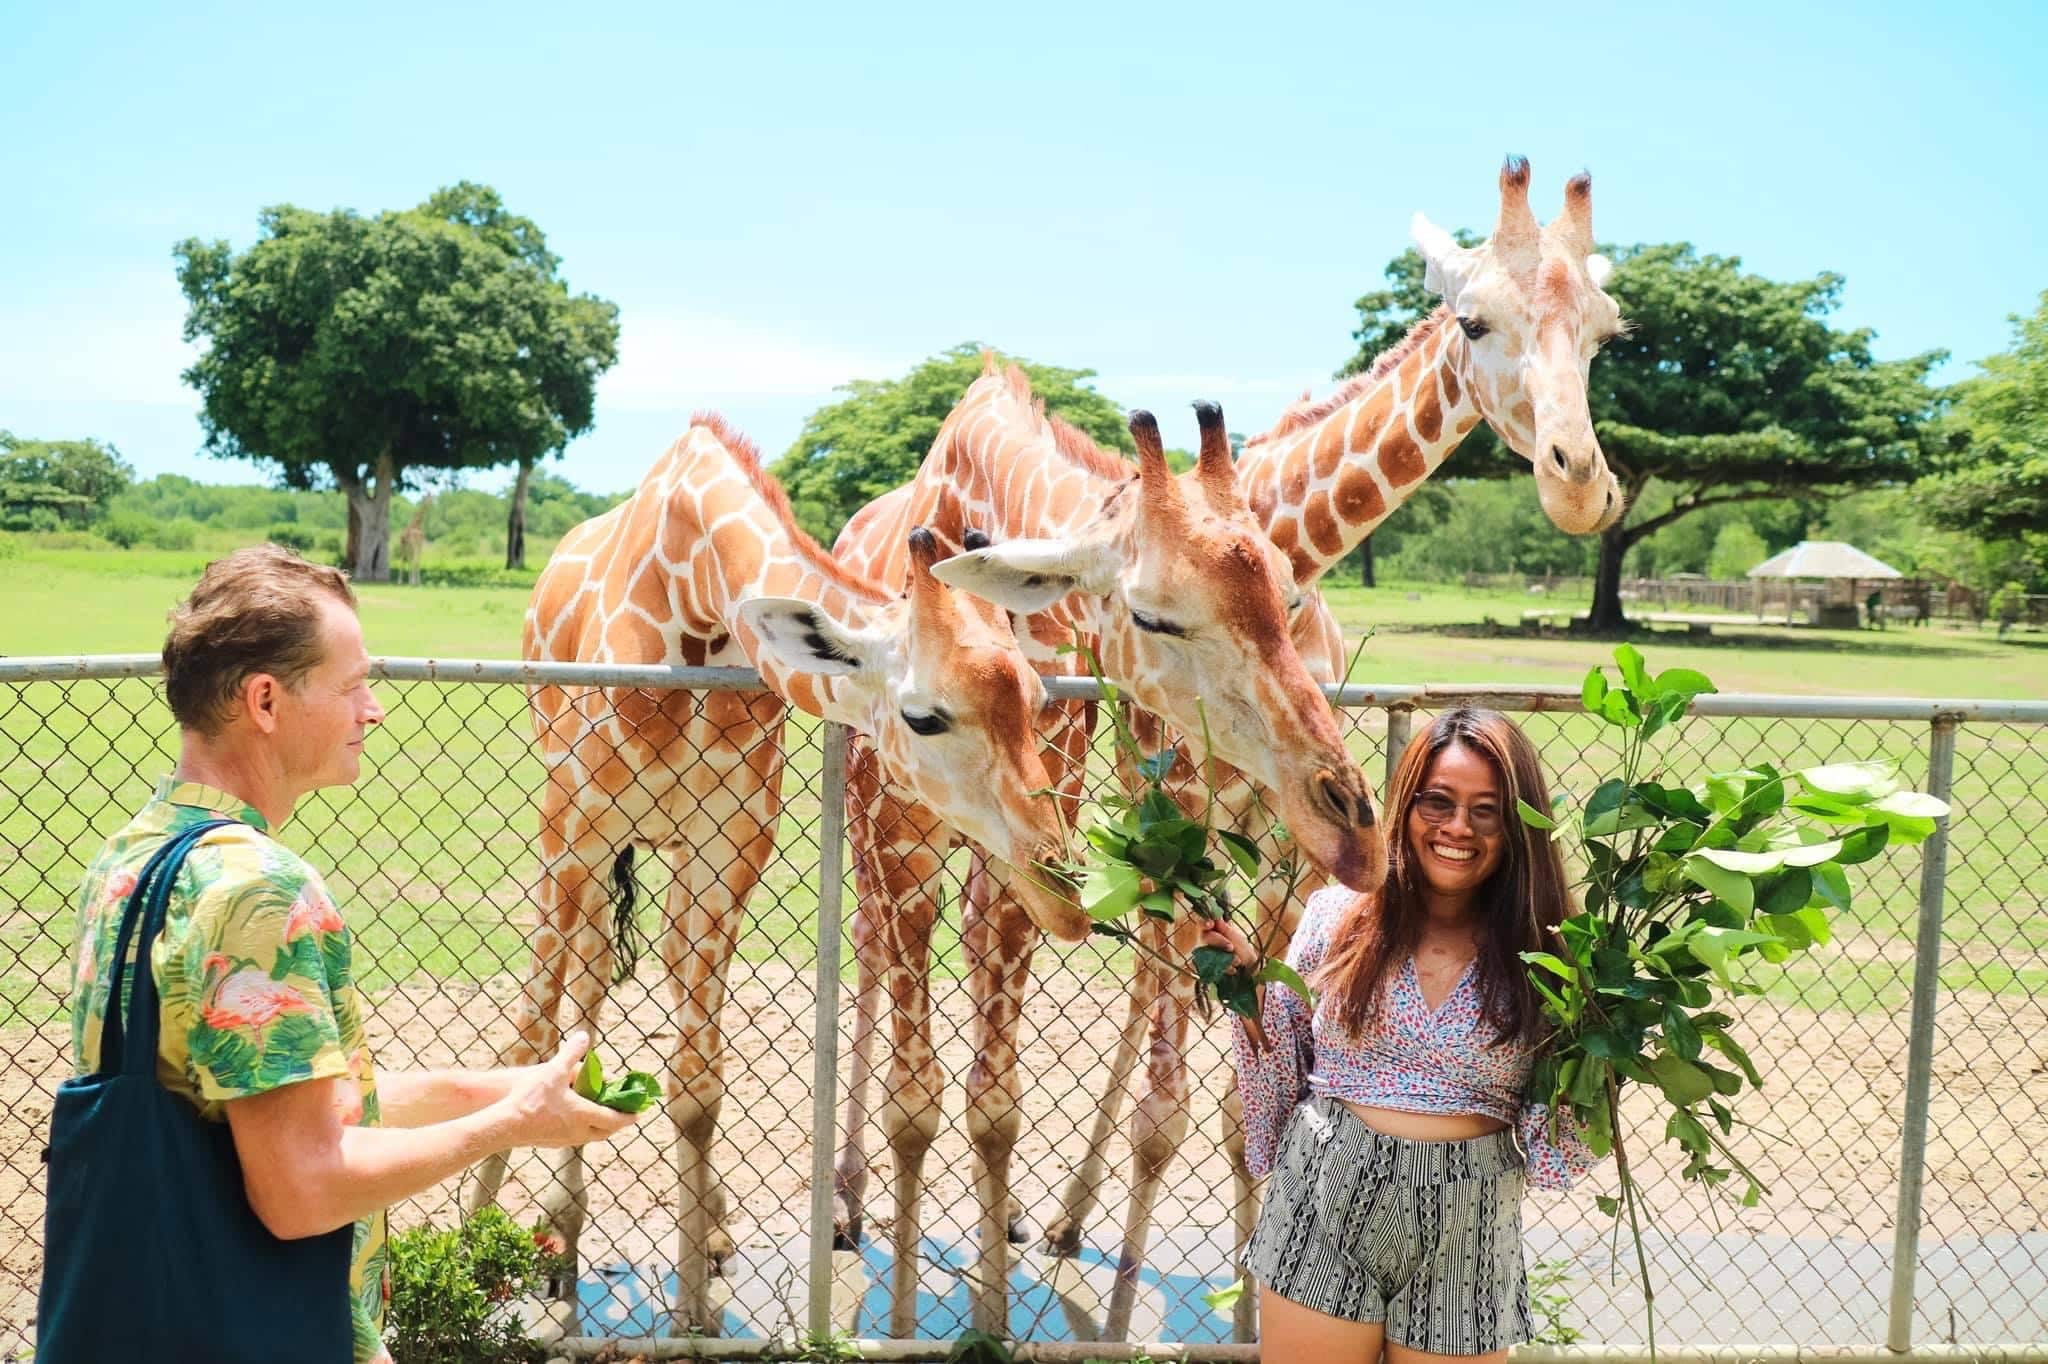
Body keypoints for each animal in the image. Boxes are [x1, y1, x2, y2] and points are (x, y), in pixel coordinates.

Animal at [462, 411, 1097, 1327]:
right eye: (924, 716)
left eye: (1039, 700)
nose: (1063, 886)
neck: (691, 595)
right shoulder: (570, 833)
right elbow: (530, 1035)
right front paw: (473, 1250)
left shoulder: (729, 842)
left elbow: (696, 1082)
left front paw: (694, 1310)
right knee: (581, 981)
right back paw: (560, 1235)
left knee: (645, 978)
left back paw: (705, 1234)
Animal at [823, 368, 1384, 1327]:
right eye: (1155, 617)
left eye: (1288, 595)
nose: (1352, 822)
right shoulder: (902, 835)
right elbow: (916, 1099)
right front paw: (908, 1322)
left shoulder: (1063, 838)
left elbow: (1002, 1099)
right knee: (866, 950)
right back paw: (852, 1205)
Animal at [1040, 153, 1630, 1335]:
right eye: (1473, 319)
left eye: (1605, 331)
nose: (1580, 483)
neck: (1290, 542)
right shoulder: (1182, 820)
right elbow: (1174, 1106)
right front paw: (1129, 1321)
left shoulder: (1295, 845)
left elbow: (1257, 1090)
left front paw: (1245, 1309)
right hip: (1136, 803)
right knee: (1143, 1007)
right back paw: (1067, 1225)